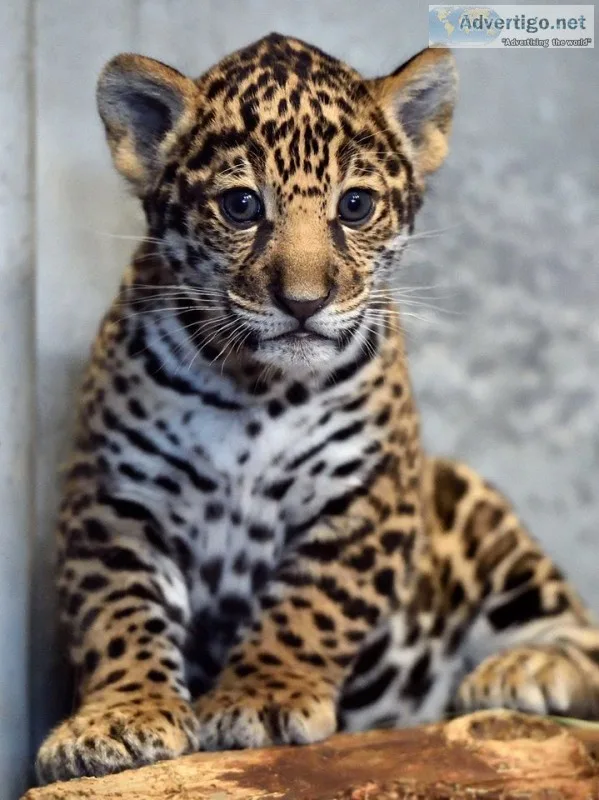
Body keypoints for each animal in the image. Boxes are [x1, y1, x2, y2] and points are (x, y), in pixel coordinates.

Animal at [36, 33, 599, 784]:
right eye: (242, 206)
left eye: (355, 206)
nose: (302, 302)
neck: (255, 388)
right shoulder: (115, 497)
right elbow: (117, 611)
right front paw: (119, 716)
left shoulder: (367, 497)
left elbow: (313, 606)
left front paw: (262, 695)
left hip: (470, 502)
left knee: (576, 627)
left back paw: (528, 666)